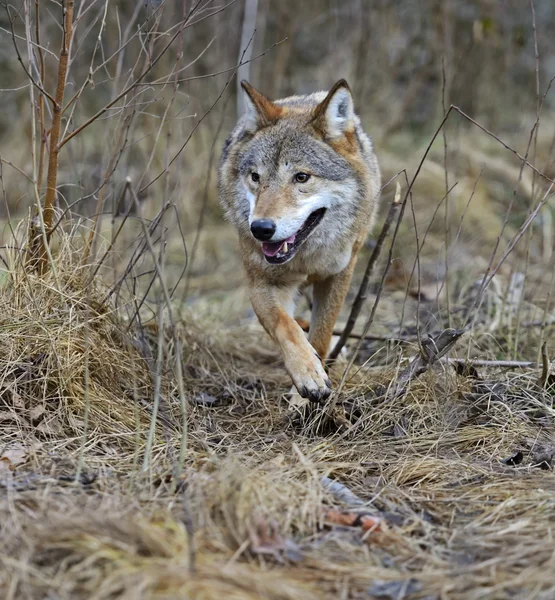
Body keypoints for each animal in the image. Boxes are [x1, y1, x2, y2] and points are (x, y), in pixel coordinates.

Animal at [219, 77, 380, 400]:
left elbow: (321, 336)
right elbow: (286, 327)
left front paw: (300, 400)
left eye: (301, 177)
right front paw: (307, 374)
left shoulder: (339, 275)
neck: (306, 257)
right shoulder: (261, 282)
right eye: (256, 177)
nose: (261, 229)